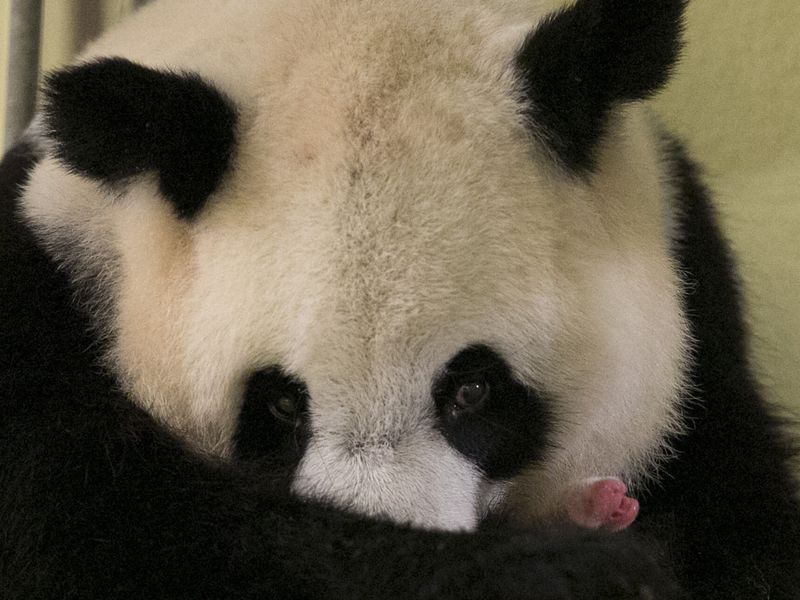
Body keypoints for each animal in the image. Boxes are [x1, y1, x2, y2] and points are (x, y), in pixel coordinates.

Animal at [1, 0, 800, 596]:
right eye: (281, 404)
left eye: (474, 390)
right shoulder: (40, 299)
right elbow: (118, 530)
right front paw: (565, 572)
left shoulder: (702, 335)